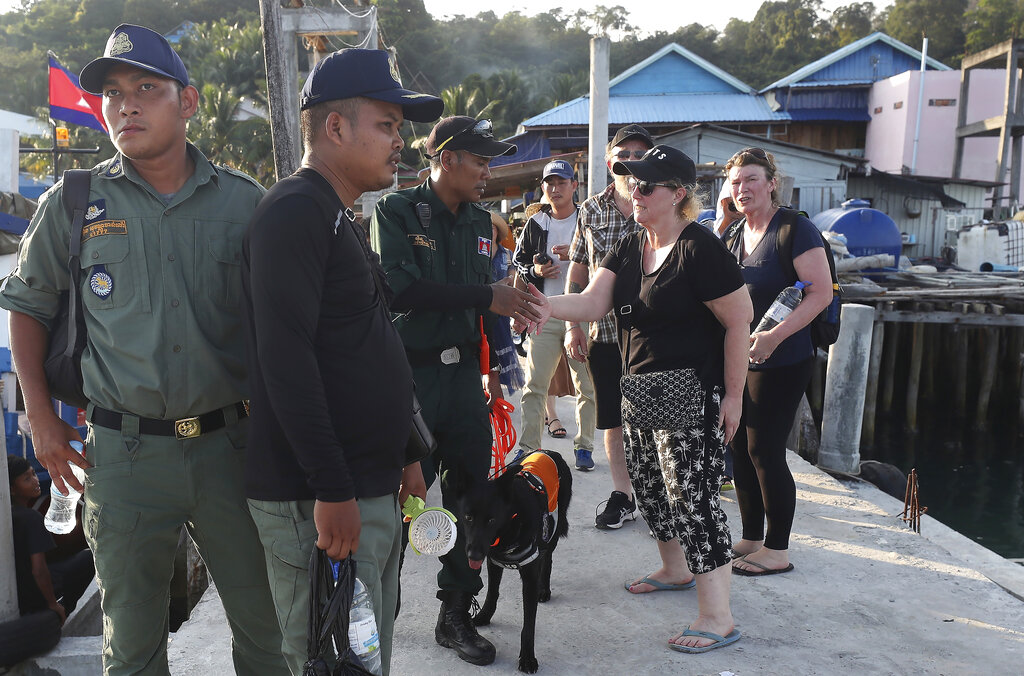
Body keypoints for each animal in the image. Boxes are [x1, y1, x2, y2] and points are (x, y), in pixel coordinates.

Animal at [458, 448, 573, 671]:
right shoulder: (494, 562)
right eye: (468, 517)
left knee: (547, 560)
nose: (473, 556)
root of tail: (550, 451)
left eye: (491, 520)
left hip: (552, 530)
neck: (511, 522)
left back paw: (544, 589)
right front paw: (485, 616)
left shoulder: (528, 576)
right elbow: (492, 594)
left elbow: (528, 625)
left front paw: (527, 657)